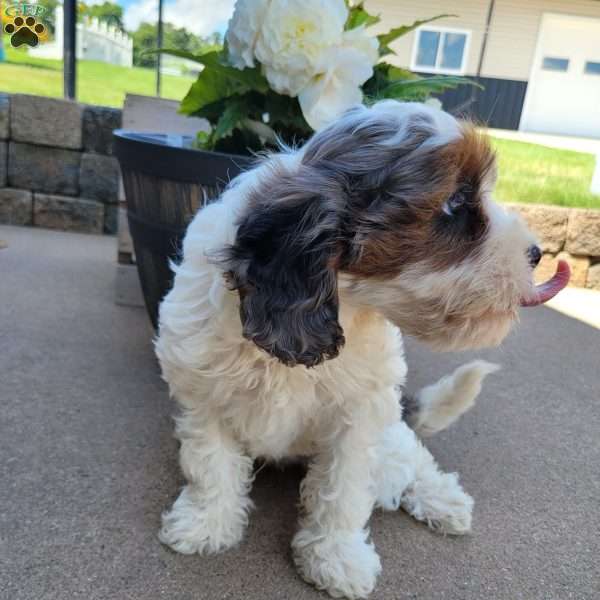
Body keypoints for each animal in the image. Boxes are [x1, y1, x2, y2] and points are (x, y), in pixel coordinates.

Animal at [154, 101, 568, 596]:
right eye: (454, 204)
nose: (536, 253)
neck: (341, 306)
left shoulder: (360, 412)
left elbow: (344, 489)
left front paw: (336, 557)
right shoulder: (203, 394)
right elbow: (211, 463)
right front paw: (207, 524)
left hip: (391, 430)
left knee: (412, 457)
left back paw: (442, 498)